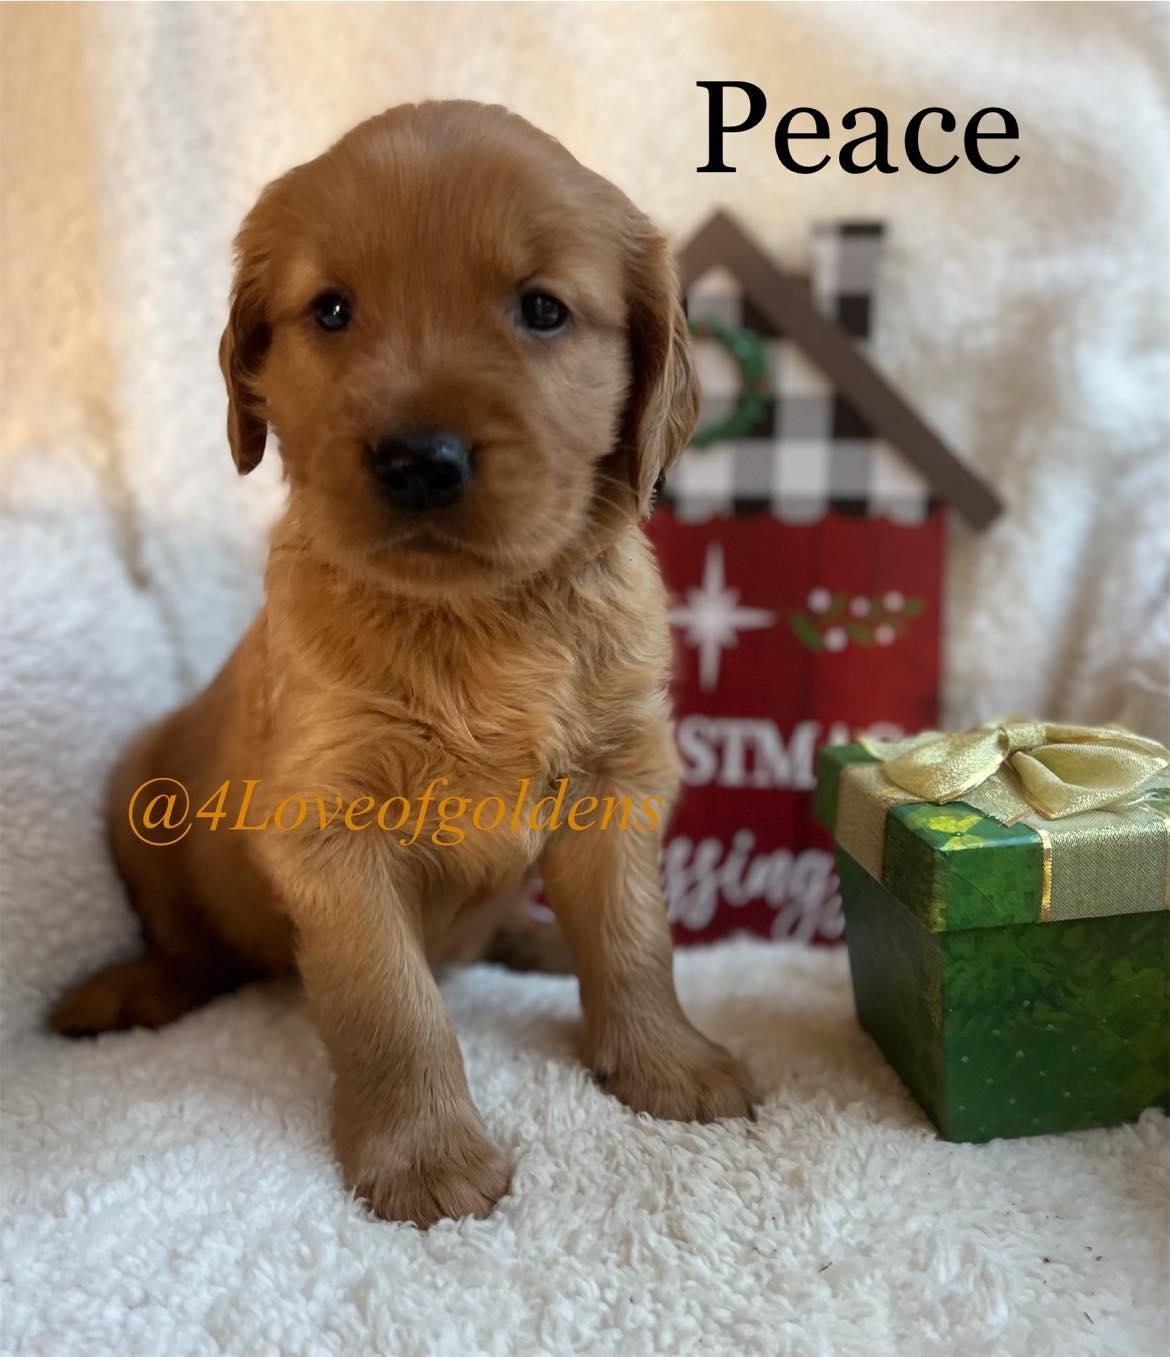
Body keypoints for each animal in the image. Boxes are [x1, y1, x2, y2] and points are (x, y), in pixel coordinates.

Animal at [51, 101, 757, 1226]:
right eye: (332, 309)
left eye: (543, 310)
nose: (421, 460)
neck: (480, 618)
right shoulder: (330, 828)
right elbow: (392, 1002)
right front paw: (426, 1155)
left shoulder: (617, 776)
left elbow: (635, 936)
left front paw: (668, 1063)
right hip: (137, 797)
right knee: (187, 946)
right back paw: (132, 989)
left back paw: (533, 942)